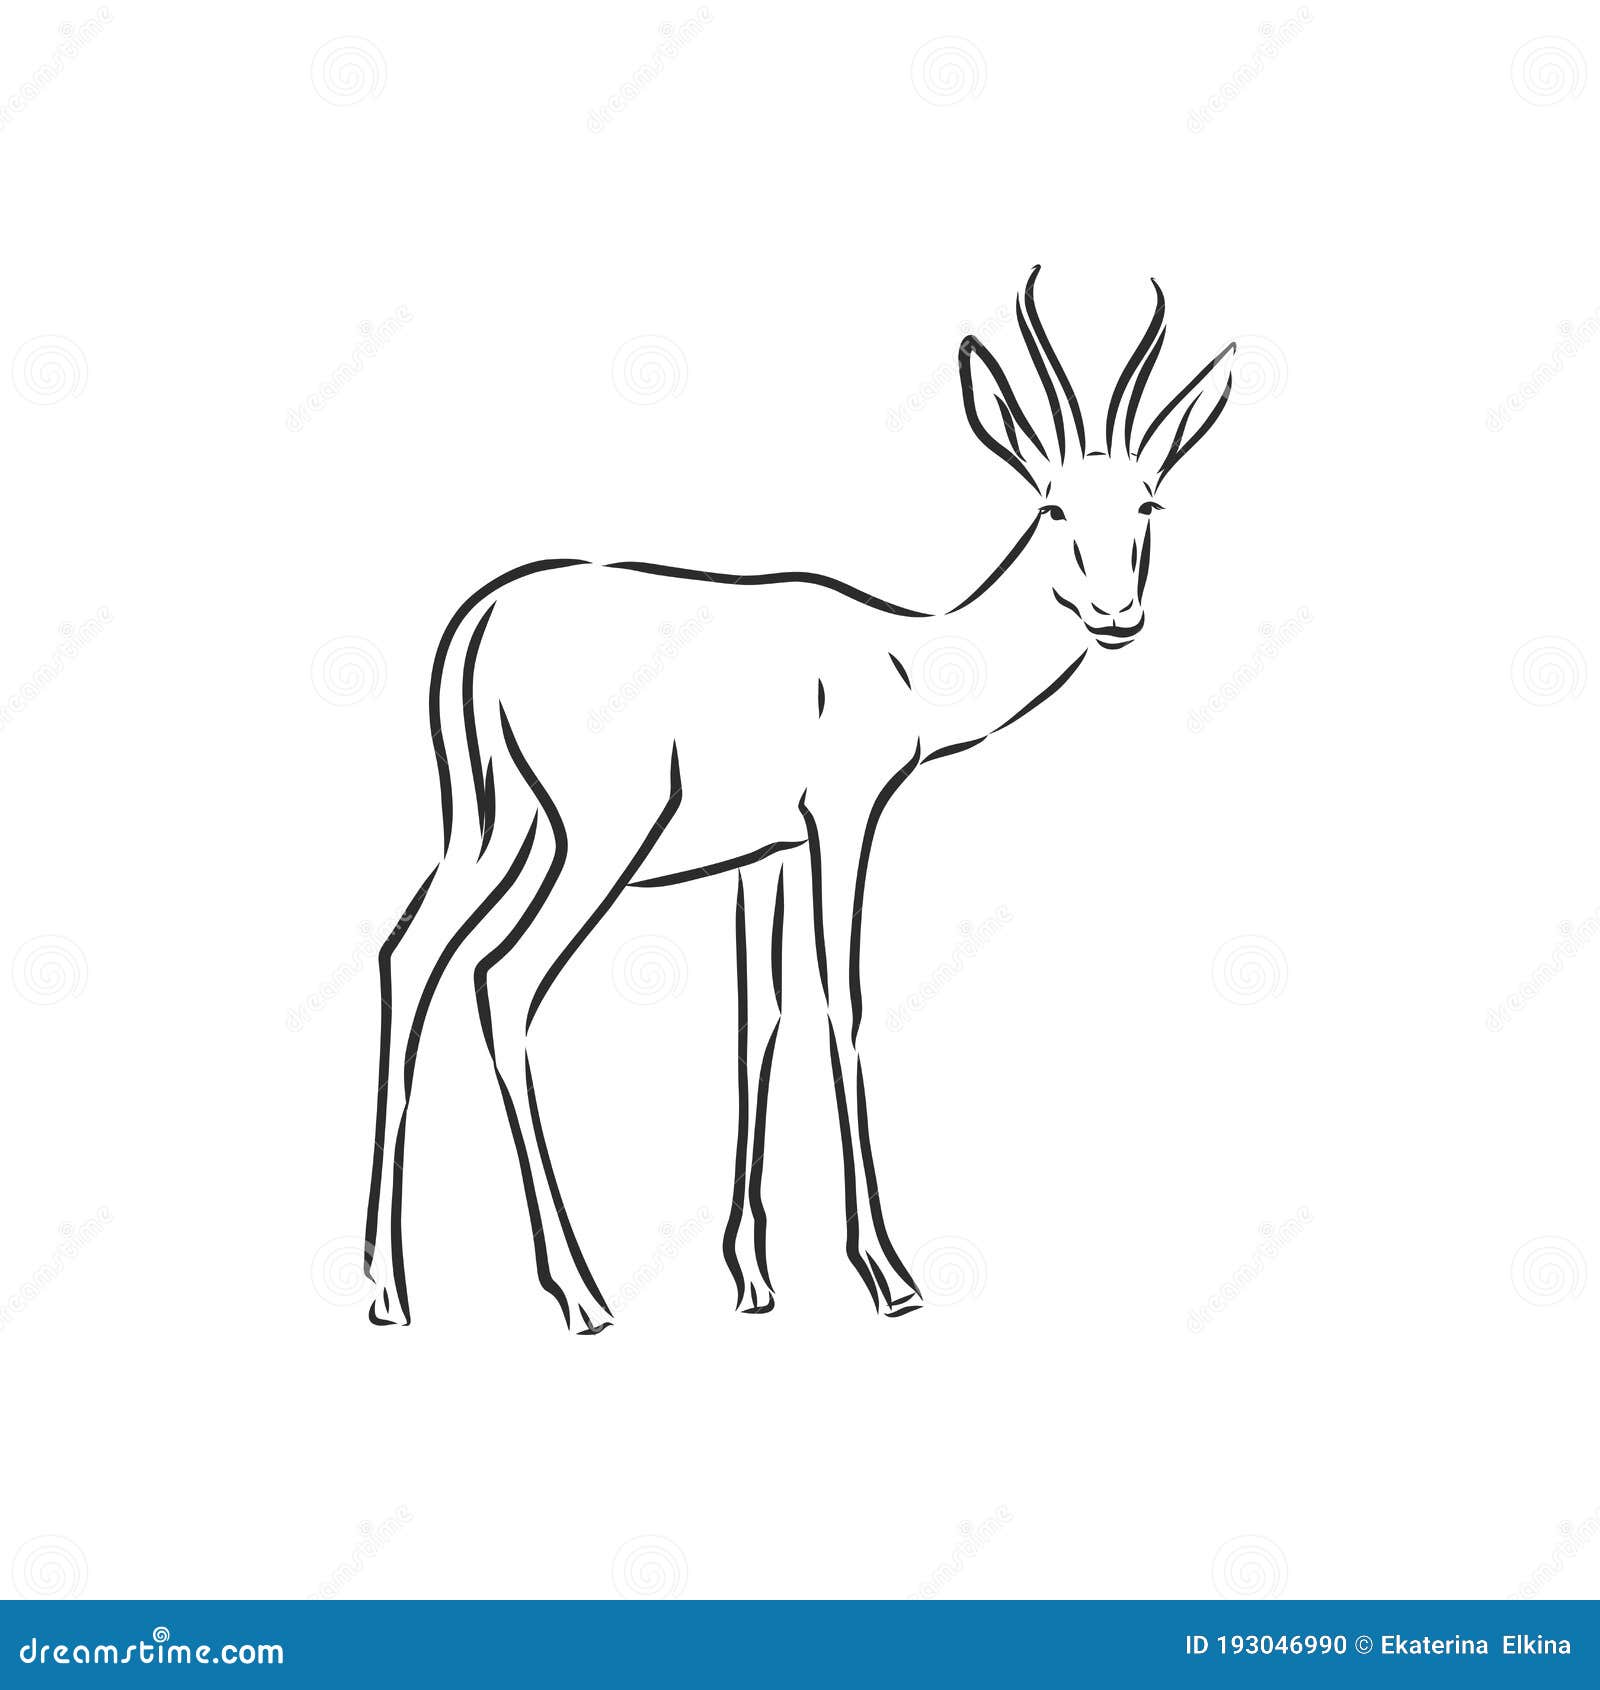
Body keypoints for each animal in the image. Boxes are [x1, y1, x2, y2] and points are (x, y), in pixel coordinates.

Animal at [363, 268, 1236, 1333]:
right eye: (1055, 509)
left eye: (1148, 502)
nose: (1117, 615)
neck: (903, 658)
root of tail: (483, 616)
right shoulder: (844, 823)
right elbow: (840, 1001)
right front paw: (888, 1273)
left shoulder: (762, 856)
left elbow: (760, 1018)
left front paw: (751, 1275)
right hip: (594, 843)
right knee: (504, 980)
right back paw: (579, 1290)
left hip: (496, 831)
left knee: (409, 957)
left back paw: (389, 1287)